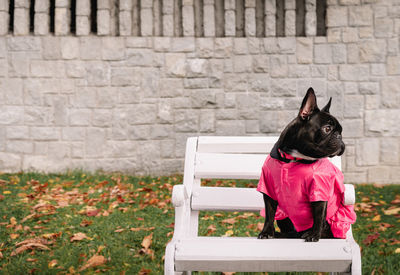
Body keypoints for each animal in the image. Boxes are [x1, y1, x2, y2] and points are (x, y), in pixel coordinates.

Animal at [258, 88, 358, 244]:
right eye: (327, 128)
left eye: (340, 131)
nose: (339, 137)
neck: (294, 159)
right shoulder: (268, 190)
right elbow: (269, 214)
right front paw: (266, 232)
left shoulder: (319, 191)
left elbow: (318, 215)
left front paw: (314, 235)